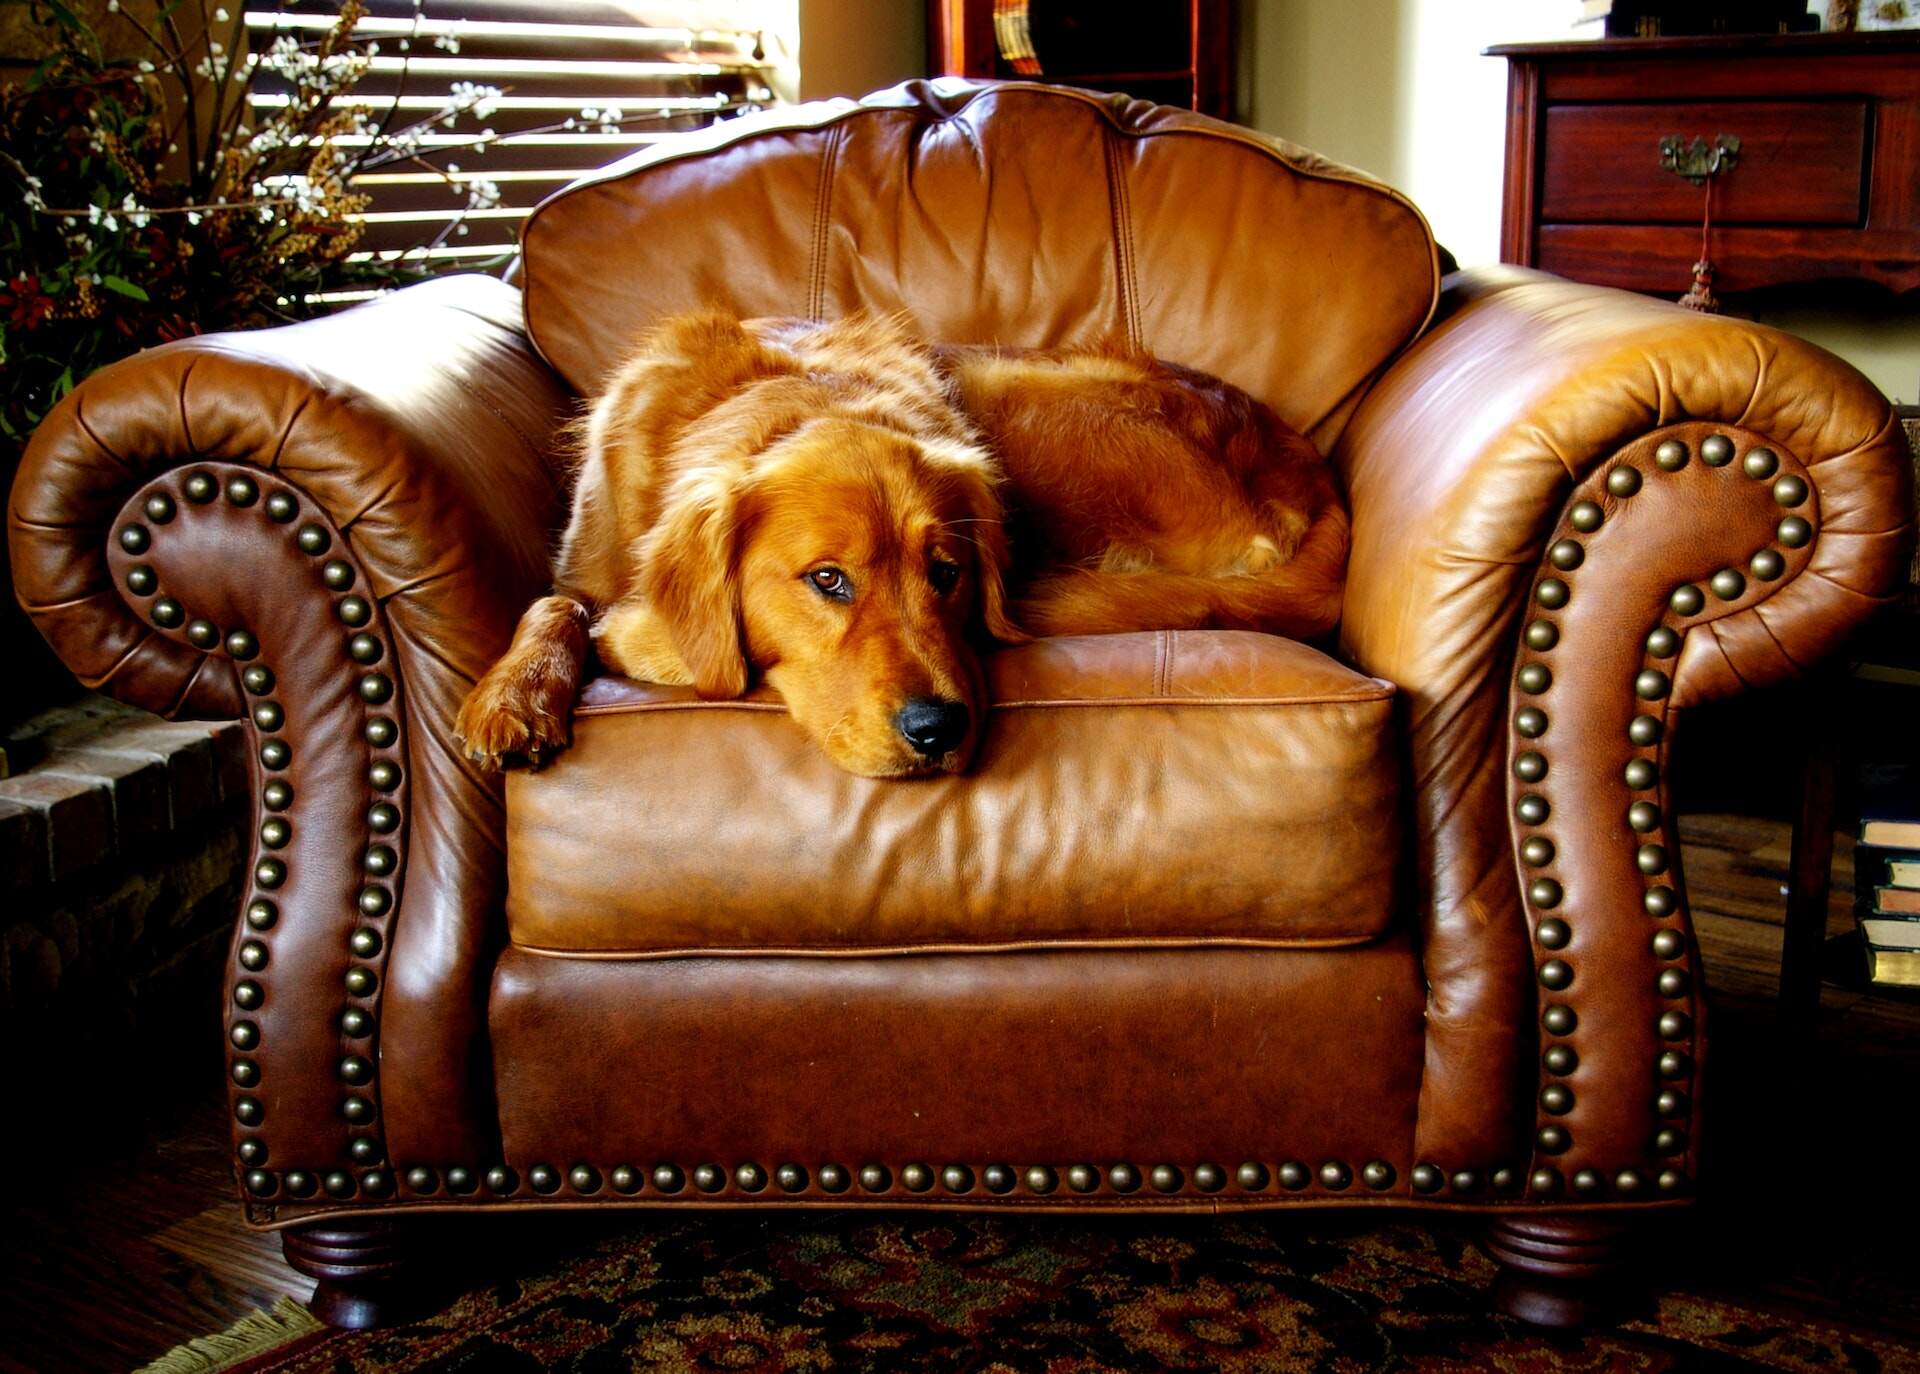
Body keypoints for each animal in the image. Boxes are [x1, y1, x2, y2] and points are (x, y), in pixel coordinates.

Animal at [455, 314, 1344, 779]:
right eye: (827, 580)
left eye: (947, 573)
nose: (938, 730)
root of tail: (1311, 474)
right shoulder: (587, 560)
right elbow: (556, 602)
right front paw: (516, 694)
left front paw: (639, 638)